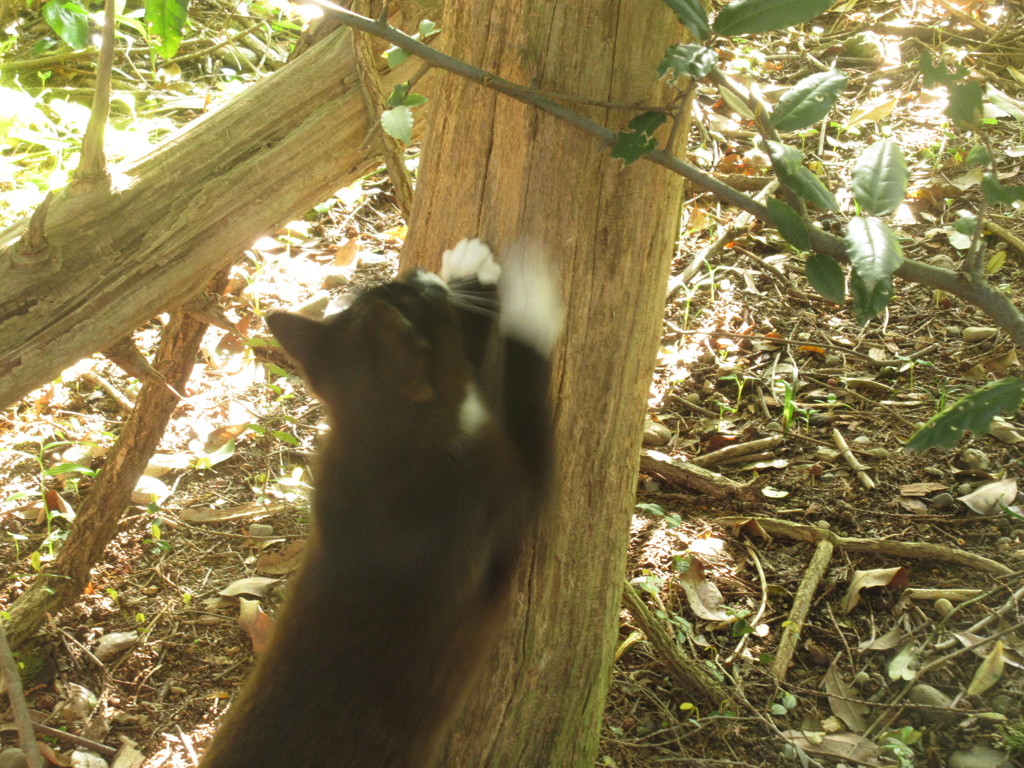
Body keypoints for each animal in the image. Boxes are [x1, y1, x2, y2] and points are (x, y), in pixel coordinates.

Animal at [197, 237, 561, 765]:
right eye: (418, 301)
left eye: (395, 289)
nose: (415, 273)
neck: (382, 442)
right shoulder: (511, 486)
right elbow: (521, 390)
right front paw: (529, 303)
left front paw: (472, 278)